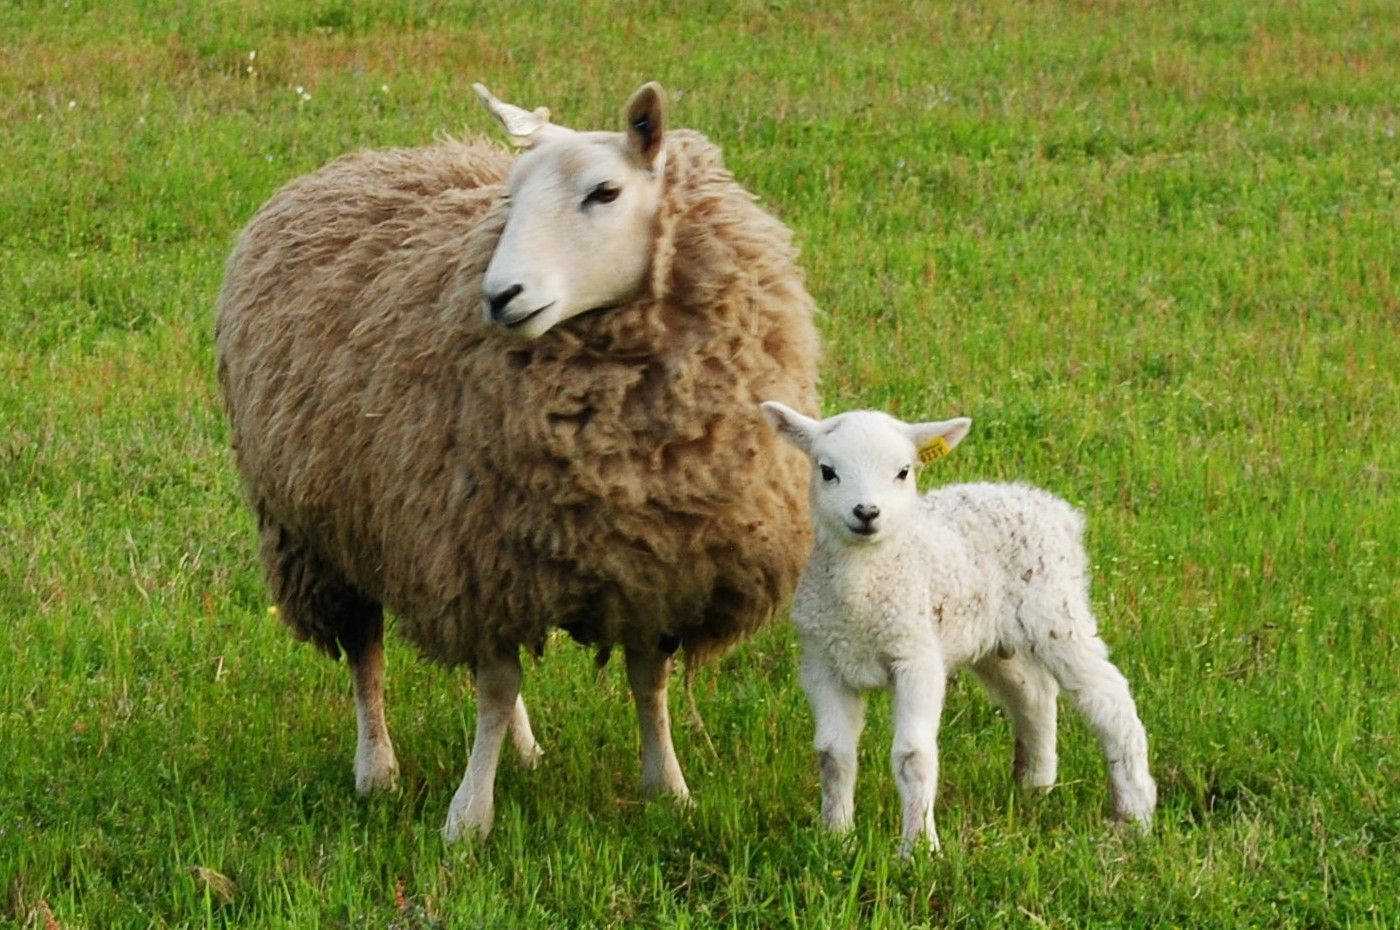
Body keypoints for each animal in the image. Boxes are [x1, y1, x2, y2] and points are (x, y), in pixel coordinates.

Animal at [211, 83, 817, 840]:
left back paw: (523, 751)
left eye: (605, 192)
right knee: (365, 654)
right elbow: (496, 691)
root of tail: (360, 160)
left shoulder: (656, 562)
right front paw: (469, 817)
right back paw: (376, 769)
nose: (499, 297)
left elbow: (647, 682)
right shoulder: (474, 554)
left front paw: (667, 789)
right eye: (513, 195)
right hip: (319, 533)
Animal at [761, 400, 1153, 851]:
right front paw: (835, 838)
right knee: (1033, 694)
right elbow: (833, 755)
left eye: (903, 471)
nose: (867, 513)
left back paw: (1135, 813)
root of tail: (1048, 504)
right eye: (827, 471)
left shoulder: (916, 658)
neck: (861, 592)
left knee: (1110, 699)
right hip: (995, 639)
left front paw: (919, 847)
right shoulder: (823, 663)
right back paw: (1034, 786)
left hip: (1057, 611)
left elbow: (913, 756)